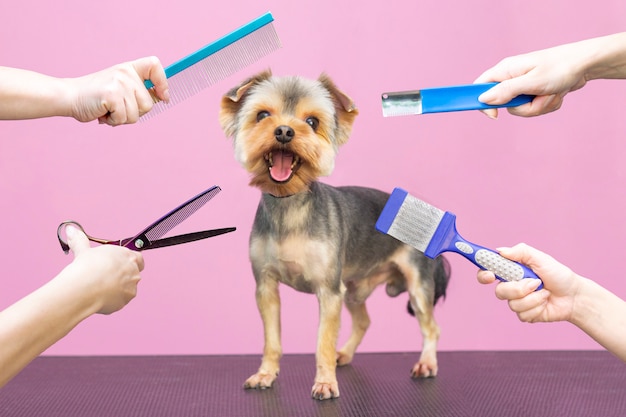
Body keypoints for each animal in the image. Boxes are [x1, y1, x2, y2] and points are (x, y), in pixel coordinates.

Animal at [218, 70, 448, 398]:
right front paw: (266, 374)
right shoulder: (266, 287)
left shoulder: (328, 291)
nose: (284, 131)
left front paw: (325, 382)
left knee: (430, 326)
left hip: (416, 283)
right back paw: (346, 354)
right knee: (364, 320)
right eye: (262, 115)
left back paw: (426, 364)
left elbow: (323, 343)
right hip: (353, 289)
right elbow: (272, 340)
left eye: (312, 121)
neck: (289, 206)